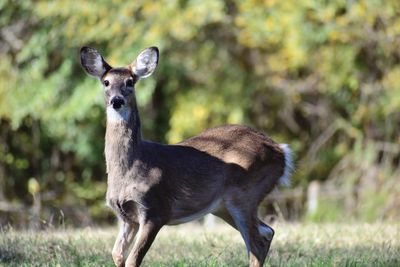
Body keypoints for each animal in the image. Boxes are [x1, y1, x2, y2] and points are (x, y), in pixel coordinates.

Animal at [80, 46, 294, 267]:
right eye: (106, 82)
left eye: (130, 82)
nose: (117, 101)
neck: (132, 167)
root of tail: (281, 151)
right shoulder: (126, 217)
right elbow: (117, 255)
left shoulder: (156, 210)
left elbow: (133, 259)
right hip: (223, 205)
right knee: (267, 231)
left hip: (245, 192)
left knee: (257, 243)